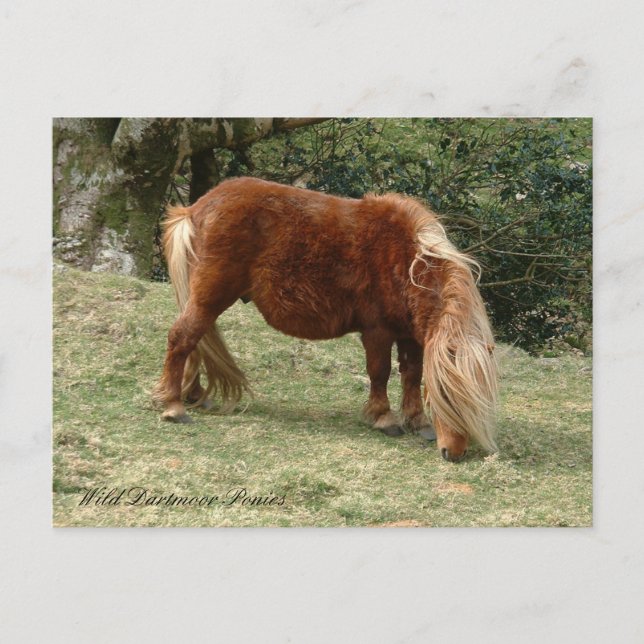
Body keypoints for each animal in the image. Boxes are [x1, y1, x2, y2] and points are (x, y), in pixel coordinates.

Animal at [152, 177, 498, 462]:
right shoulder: (378, 331)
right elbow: (380, 373)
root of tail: (195, 208)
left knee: (196, 342)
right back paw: (173, 406)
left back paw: (193, 395)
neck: (406, 258)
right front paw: (383, 418)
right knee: (183, 337)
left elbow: (412, 375)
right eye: (446, 397)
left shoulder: (410, 334)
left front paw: (418, 421)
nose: (454, 453)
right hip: (209, 298)